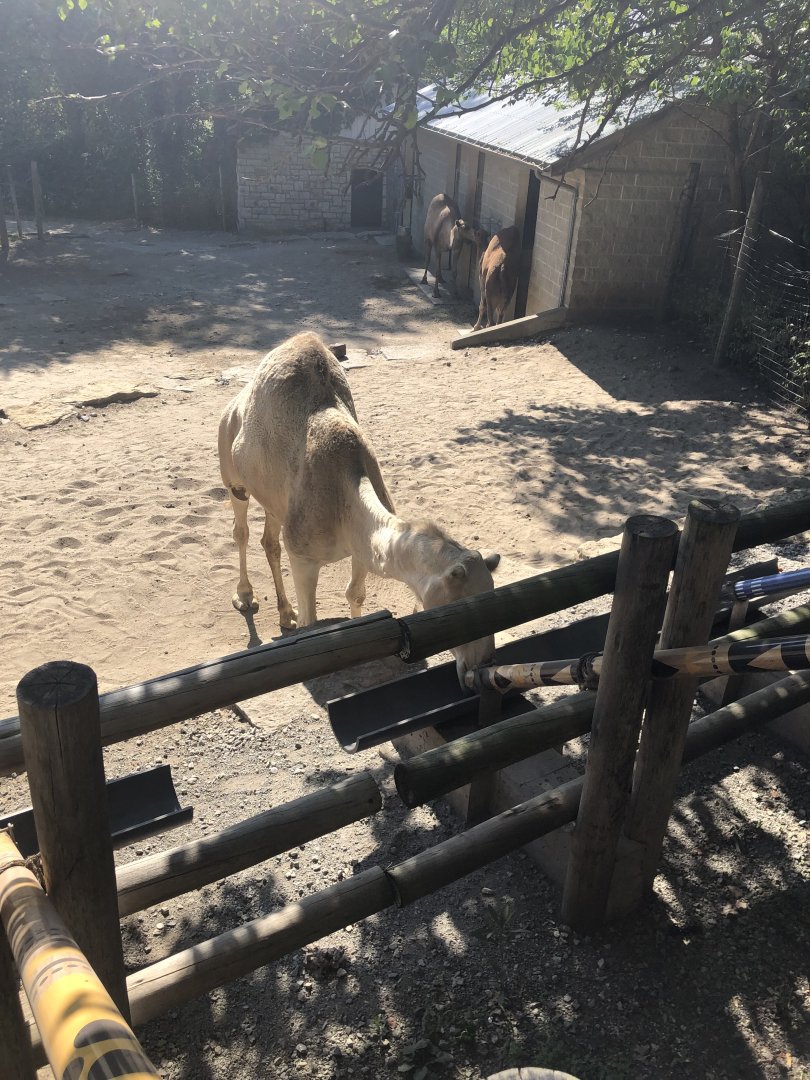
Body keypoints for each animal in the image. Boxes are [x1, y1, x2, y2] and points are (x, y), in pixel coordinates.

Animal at [218, 332, 500, 684]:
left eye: (493, 597)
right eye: (460, 608)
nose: (483, 664)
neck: (344, 489)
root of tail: (235, 404)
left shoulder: (360, 544)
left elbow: (355, 593)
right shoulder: (303, 555)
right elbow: (311, 622)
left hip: (274, 498)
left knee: (270, 541)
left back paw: (285, 614)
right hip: (232, 472)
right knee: (240, 529)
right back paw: (245, 597)